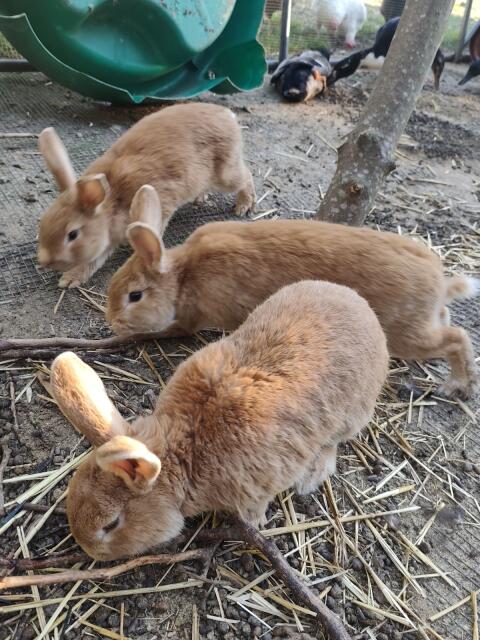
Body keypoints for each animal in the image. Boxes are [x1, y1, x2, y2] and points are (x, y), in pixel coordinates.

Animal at [36, 103, 255, 289]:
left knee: (246, 175)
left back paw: (243, 206)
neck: (111, 202)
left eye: (72, 234)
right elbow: (93, 262)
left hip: (225, 175)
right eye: (43, 221)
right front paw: (70, 279)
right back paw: (200, 199)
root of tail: (227, 115)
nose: (44, 260)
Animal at [50, 280, 389, 560]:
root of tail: (364, 309)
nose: (88, 550)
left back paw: (311, 477)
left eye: (111, 524)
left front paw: (257, 522)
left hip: (352, 413)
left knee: (334, 444)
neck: (184, 452)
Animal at [106, 185, 479, 399]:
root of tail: (439, 281)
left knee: (456, 338)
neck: (185, 275)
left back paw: (455, 384)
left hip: (406, 334)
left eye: (135, 296)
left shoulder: (194, 318)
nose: (112, 322)